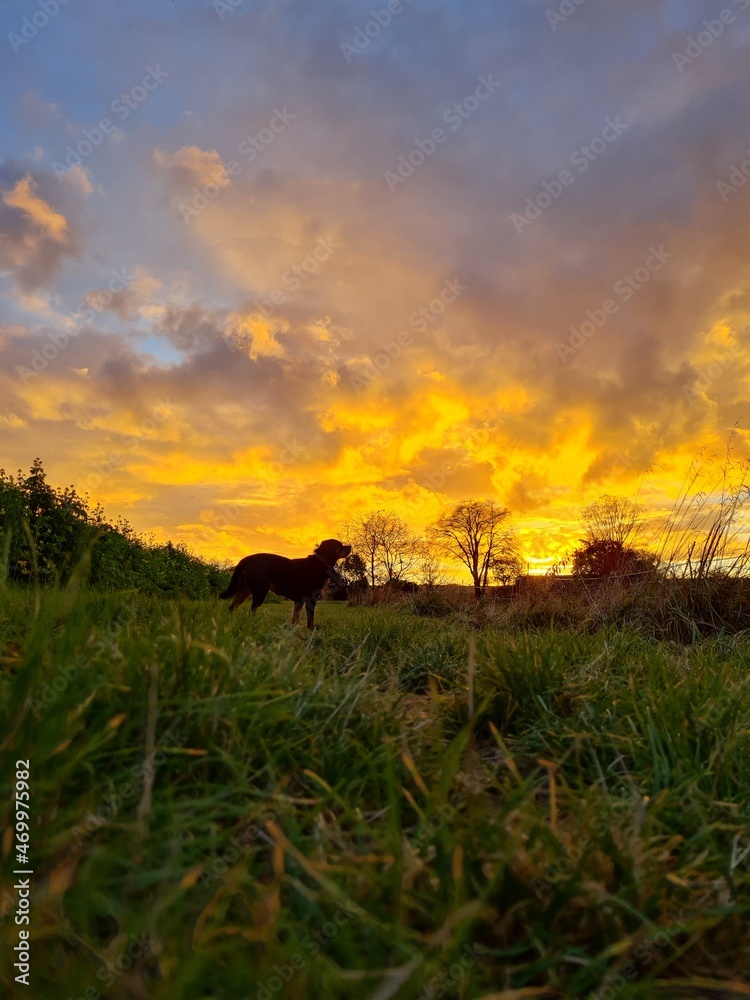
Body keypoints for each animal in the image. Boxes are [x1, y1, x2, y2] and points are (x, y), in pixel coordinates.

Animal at [220, 544, 352, 628]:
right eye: (340, 545)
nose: (350, 546)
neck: (320, 562)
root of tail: (246, 559)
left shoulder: (299, 601)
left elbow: (295, 618)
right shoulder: (311, 599)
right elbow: (310, 618)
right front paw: (311, 630)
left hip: (245, 590)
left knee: (232, 607)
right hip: (260, 592)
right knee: (251, 610)